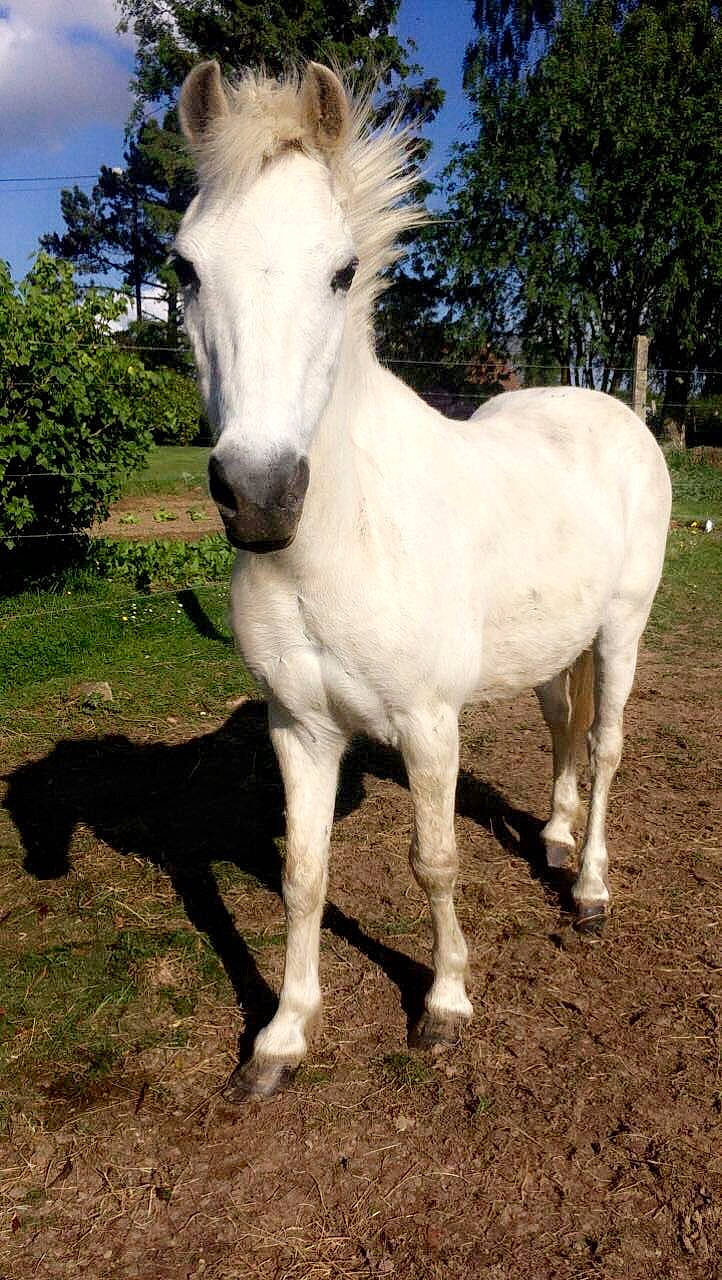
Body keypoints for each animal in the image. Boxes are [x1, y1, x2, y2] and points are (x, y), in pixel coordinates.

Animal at [174, 60, 671, 1099]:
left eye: (341, 270)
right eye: (185, 267)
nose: (260, 494)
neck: (340, 542)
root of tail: (611, 406)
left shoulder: (428, 725)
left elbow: (433, 861)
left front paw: (444, 1004)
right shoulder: (300, 728)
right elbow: (304, 877)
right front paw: (281, 1038)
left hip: (622, 629)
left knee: (605, 747)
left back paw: (590, 888)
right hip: (549, 648)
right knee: (563, 730)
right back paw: (554, 838)